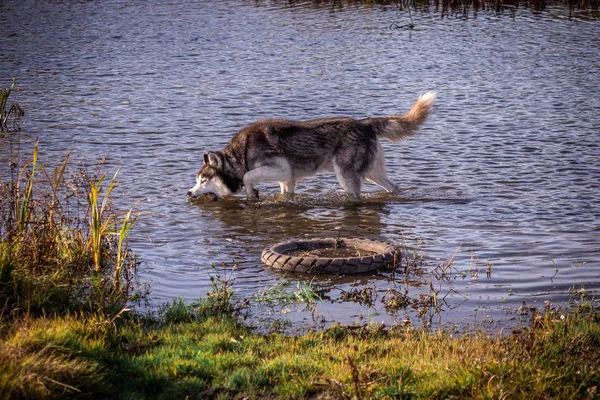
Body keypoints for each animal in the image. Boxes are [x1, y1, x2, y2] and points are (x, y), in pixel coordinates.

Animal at [190, 92, 438, 202]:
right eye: (197, 181)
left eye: (204, 181)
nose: (189, 192)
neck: (241, 154)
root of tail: (364, 122)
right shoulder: (287, 179)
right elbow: (286, 194)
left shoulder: (280, 169)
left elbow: (249, 176)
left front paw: (252, 193)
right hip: (372, 173)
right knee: (394, 188)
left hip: (346, 175)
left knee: (356, 195)